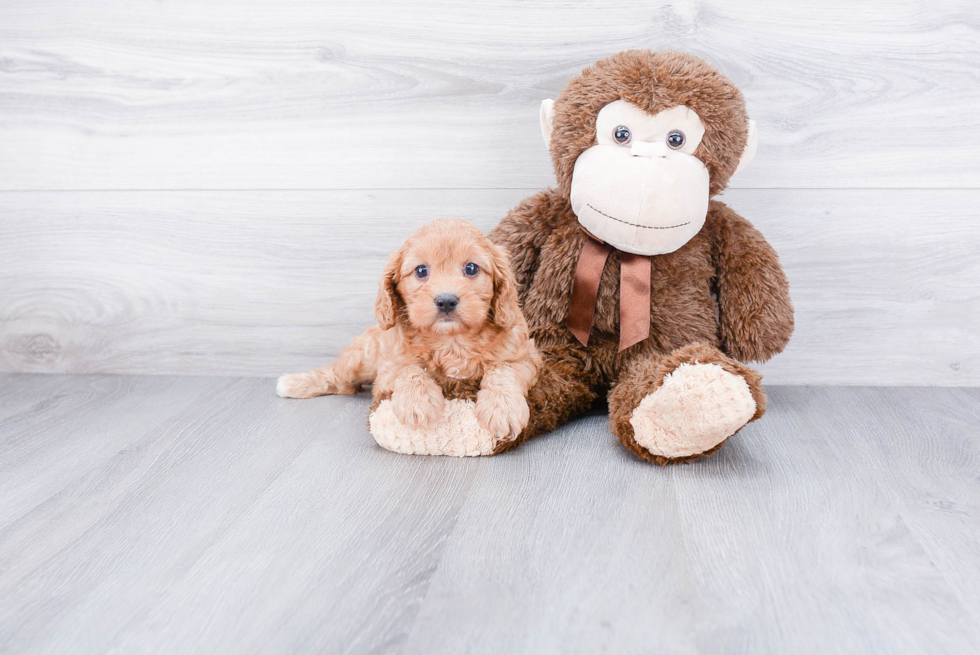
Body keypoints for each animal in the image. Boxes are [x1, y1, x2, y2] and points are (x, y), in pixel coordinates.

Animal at [276, 218, 540, 444]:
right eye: (421, 271)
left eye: (472, 268)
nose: (446, 301)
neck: (451, 340)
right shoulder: (388, 368)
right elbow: (410, 369)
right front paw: (418, 403)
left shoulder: (525, 356)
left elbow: (503, 371)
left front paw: (502, 409)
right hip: (362, 359)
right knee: (337, 377)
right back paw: (293, 383)